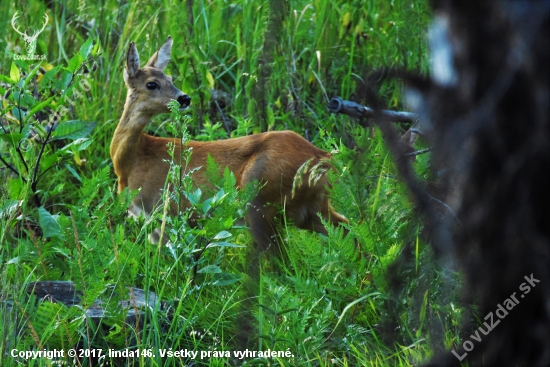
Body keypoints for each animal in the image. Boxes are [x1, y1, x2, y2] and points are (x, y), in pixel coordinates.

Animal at [110, 36, 348, 250]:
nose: (184, 98)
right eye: (152, 84)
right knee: (347, 228)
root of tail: (322, 157)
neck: (132, 161)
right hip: (312, 208)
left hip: (261, 202)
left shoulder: (161, 210)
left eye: (170, 79)